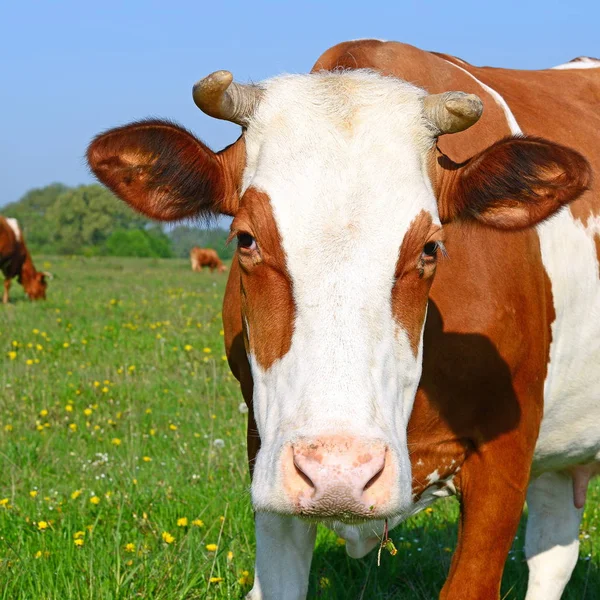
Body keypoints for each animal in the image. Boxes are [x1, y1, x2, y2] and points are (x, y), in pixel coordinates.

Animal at [89, 41, 600, 600]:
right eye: (245, 238)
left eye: (431, 247)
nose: (340, 473)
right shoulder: (266, 453)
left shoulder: (505, 456)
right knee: (553, 550)